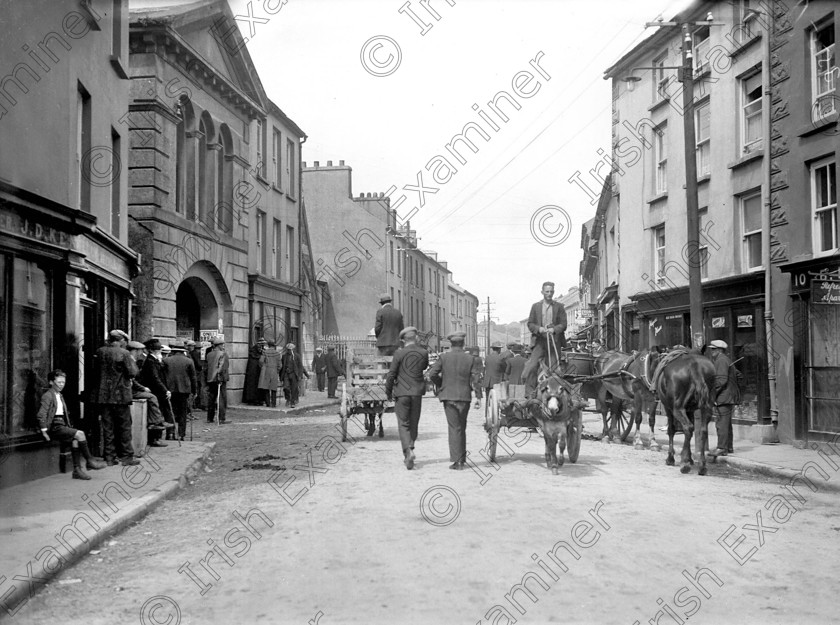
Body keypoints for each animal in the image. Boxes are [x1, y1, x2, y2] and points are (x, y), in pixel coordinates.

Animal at [648, 348, 716, 476]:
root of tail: (695, 365)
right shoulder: (690, 410)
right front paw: (690, 458)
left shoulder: (668, 408)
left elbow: (671, 430)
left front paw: (671, 458)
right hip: (706, 408)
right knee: (702, 430)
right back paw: (702, 465)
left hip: (677, 408)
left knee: (688, 428)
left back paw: (684, 464)